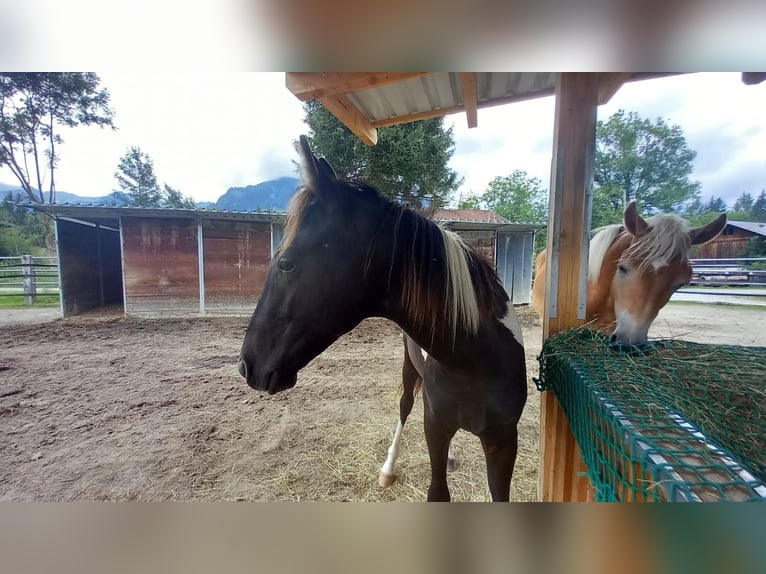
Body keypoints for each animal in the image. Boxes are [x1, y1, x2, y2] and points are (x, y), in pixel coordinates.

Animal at [240, 137, 528, 502]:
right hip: (410, 371)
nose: (246, 365)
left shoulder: (503, 442)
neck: (474, 360)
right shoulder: (434, 427)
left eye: (286, 263)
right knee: (405, 407)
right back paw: (389, 469)